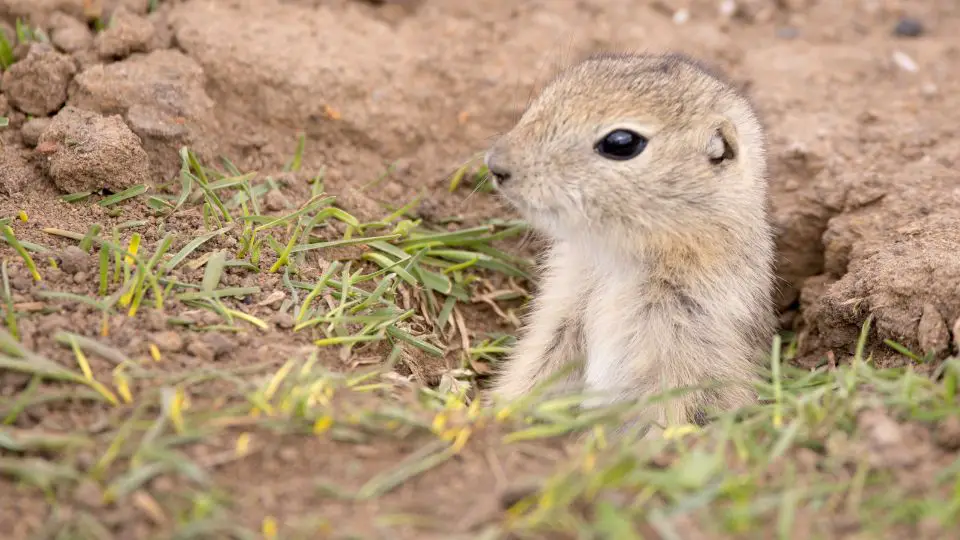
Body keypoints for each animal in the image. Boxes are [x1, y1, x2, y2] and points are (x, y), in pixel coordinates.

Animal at [484, 52, 776, 432]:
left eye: (621, 143)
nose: (496, 165)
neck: (617, 258)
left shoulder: (686, 337)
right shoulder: (559, 320)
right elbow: (536, 372)